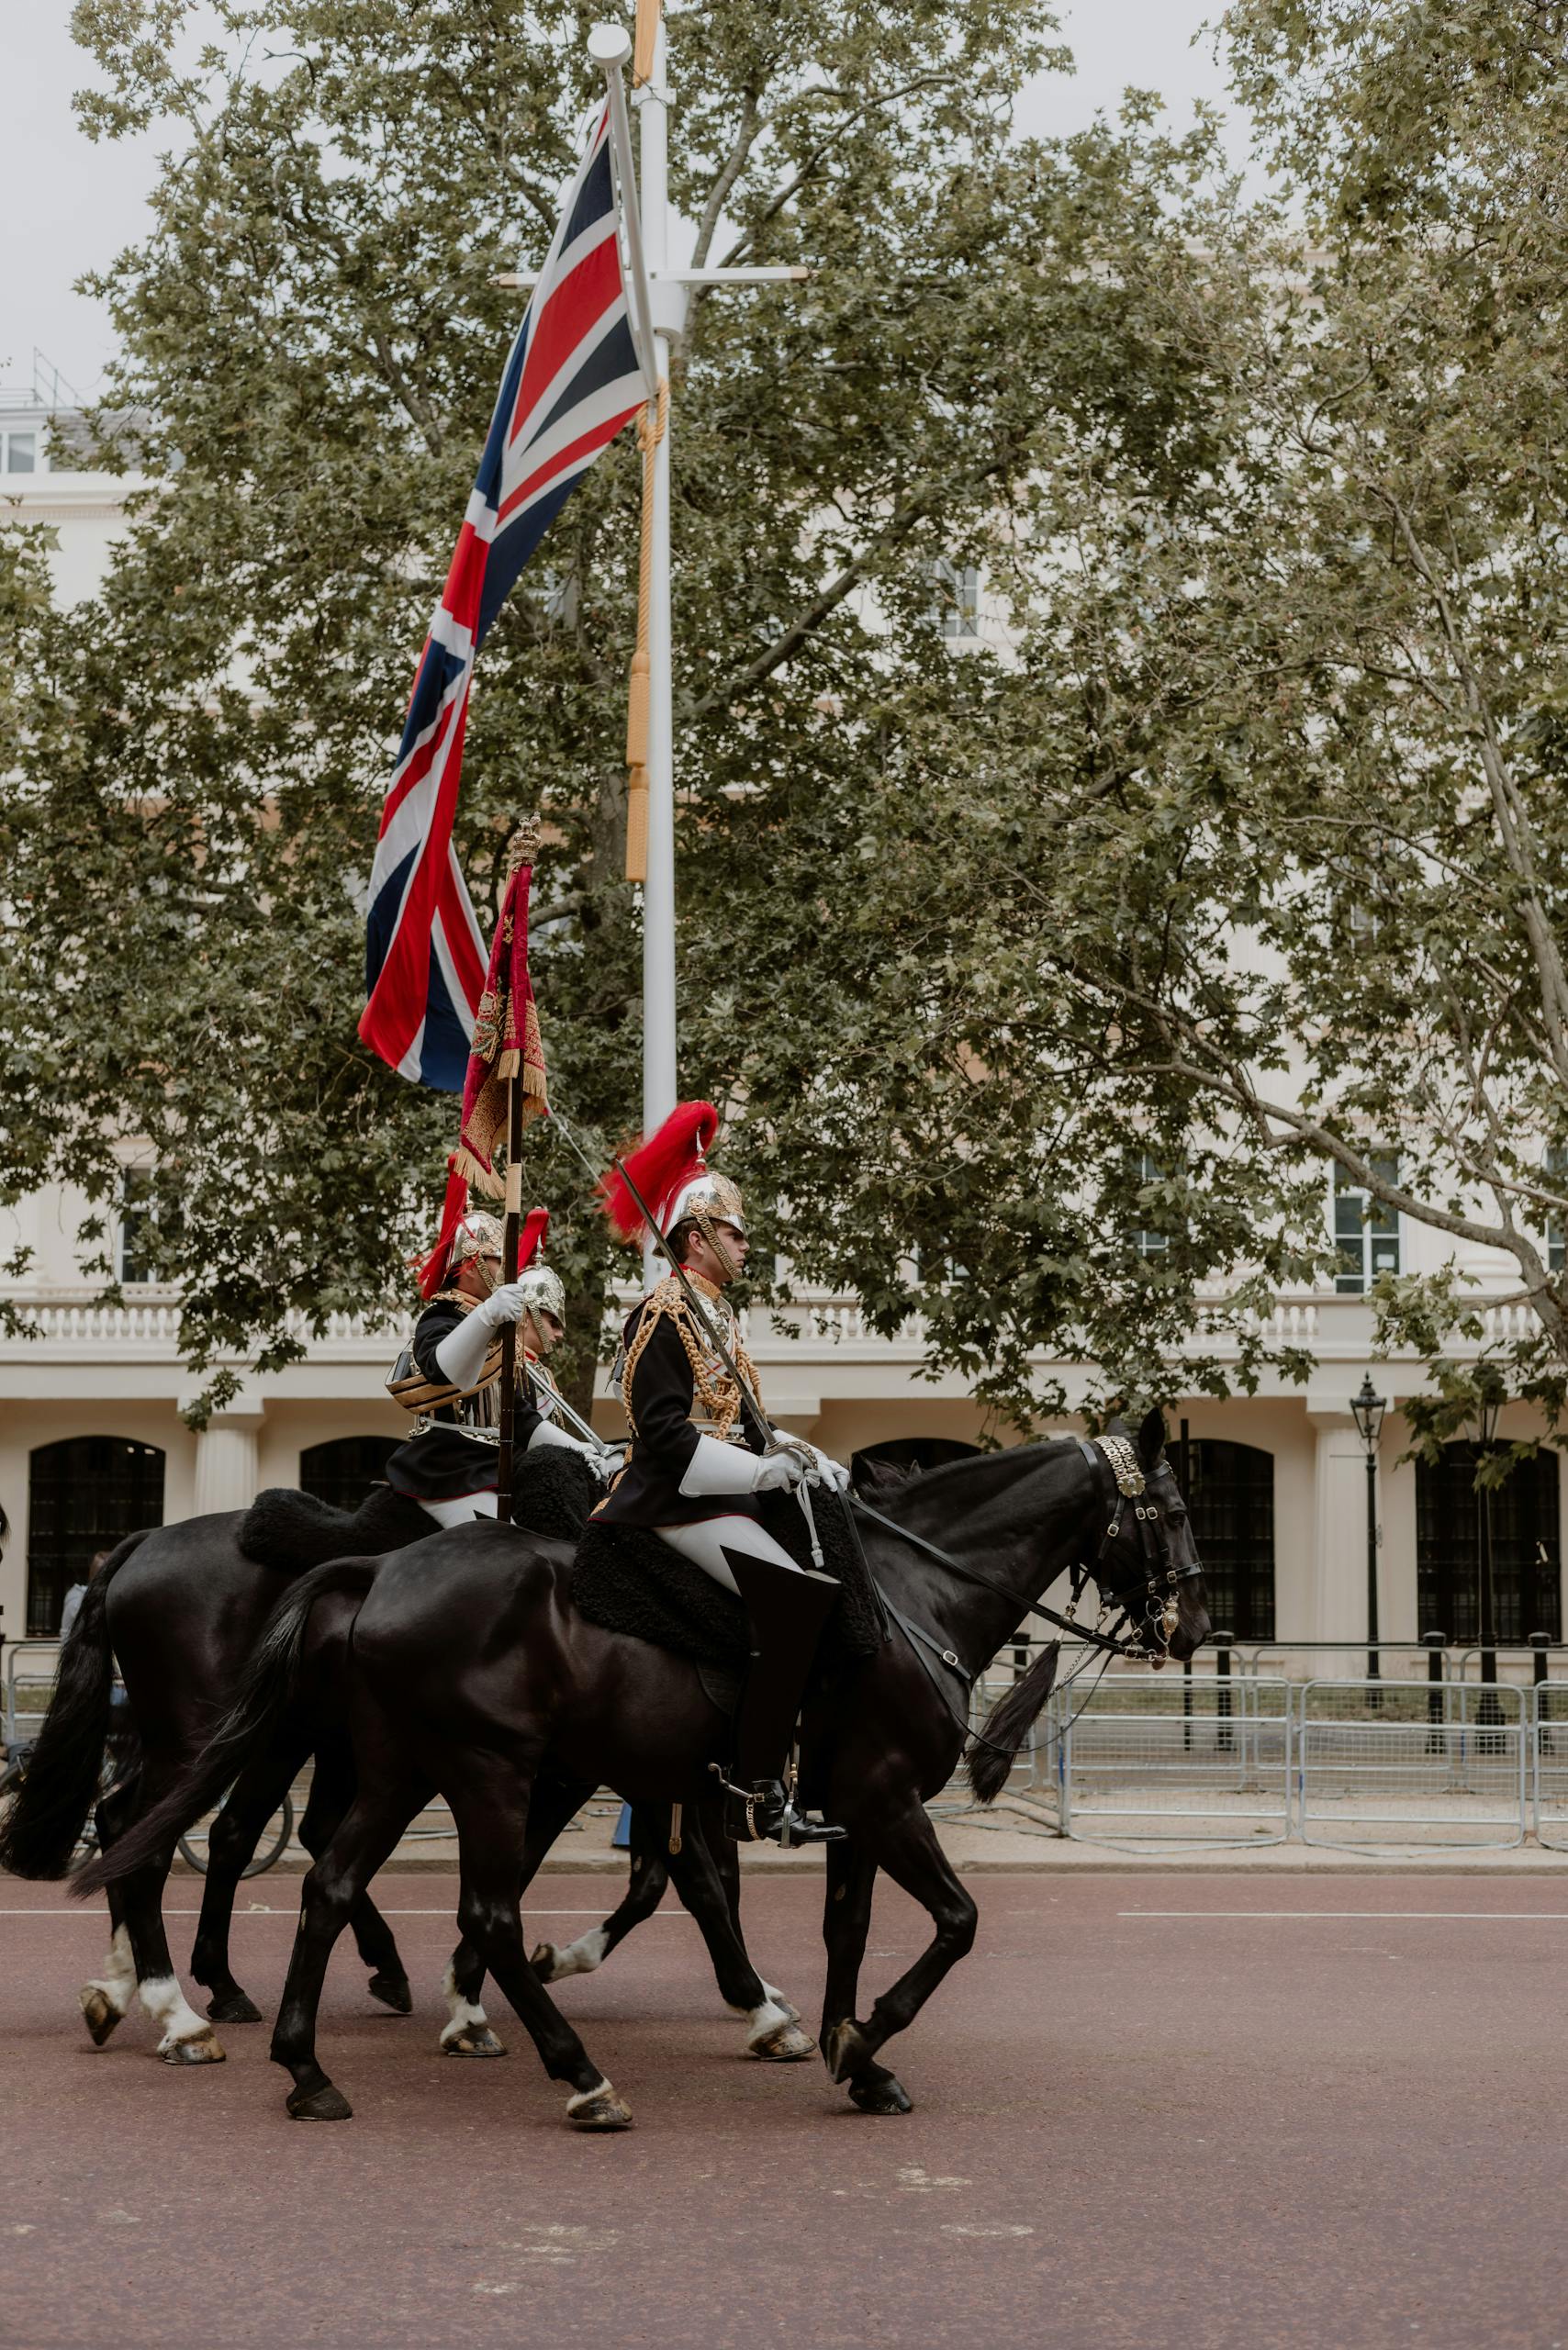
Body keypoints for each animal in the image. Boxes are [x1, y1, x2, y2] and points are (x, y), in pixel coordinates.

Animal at [92, 1410, 1213, 2133]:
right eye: (1166, 1508)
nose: (1196, 1630)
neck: (914, 1593)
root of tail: (374, 1566)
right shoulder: (880, 1798)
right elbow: (953, 1921)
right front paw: (851, 2040)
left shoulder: (832, 1806)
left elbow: (834, 1927)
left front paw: (845, 2049)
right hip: (467, 1767)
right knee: (443, 1900)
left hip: (400, 1765)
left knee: (317, 1876)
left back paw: (295, 2059)